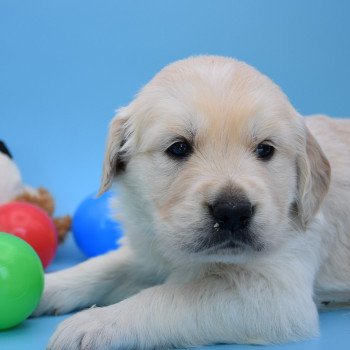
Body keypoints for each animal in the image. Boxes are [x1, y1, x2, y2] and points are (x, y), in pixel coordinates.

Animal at [34, 56, 350, 348]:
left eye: (265, 149)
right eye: (178, 148)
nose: (233, 212)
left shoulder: (275, 295)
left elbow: (172, 296)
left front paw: (94, 322)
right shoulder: (148, 251)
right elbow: (102, 267)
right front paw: (46, 285)